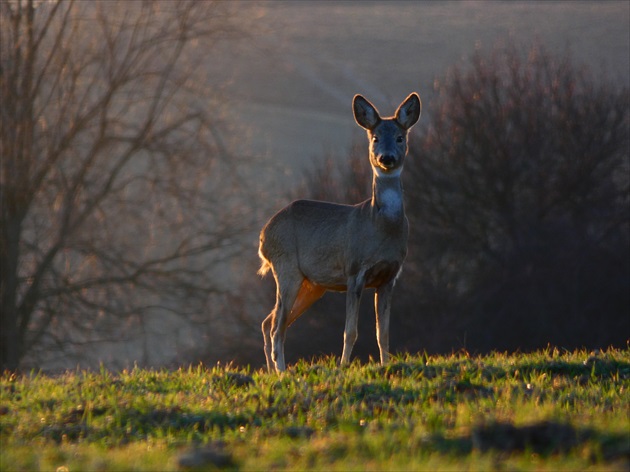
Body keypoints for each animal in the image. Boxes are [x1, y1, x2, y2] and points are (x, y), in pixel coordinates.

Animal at [260, 93, 422, 372]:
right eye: (375, 137)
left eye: (400, 137)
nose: (386, 158)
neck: (379, 226)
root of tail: (263, 236)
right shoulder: (354, 270)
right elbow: (350, 331)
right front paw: (343, 366)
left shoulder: (390, 276)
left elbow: (383, 332)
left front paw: (385, 365)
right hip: (286, 267)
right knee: (276, 327)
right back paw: (281, 371)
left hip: (312, 284)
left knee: (269, 321)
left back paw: (273, 371)